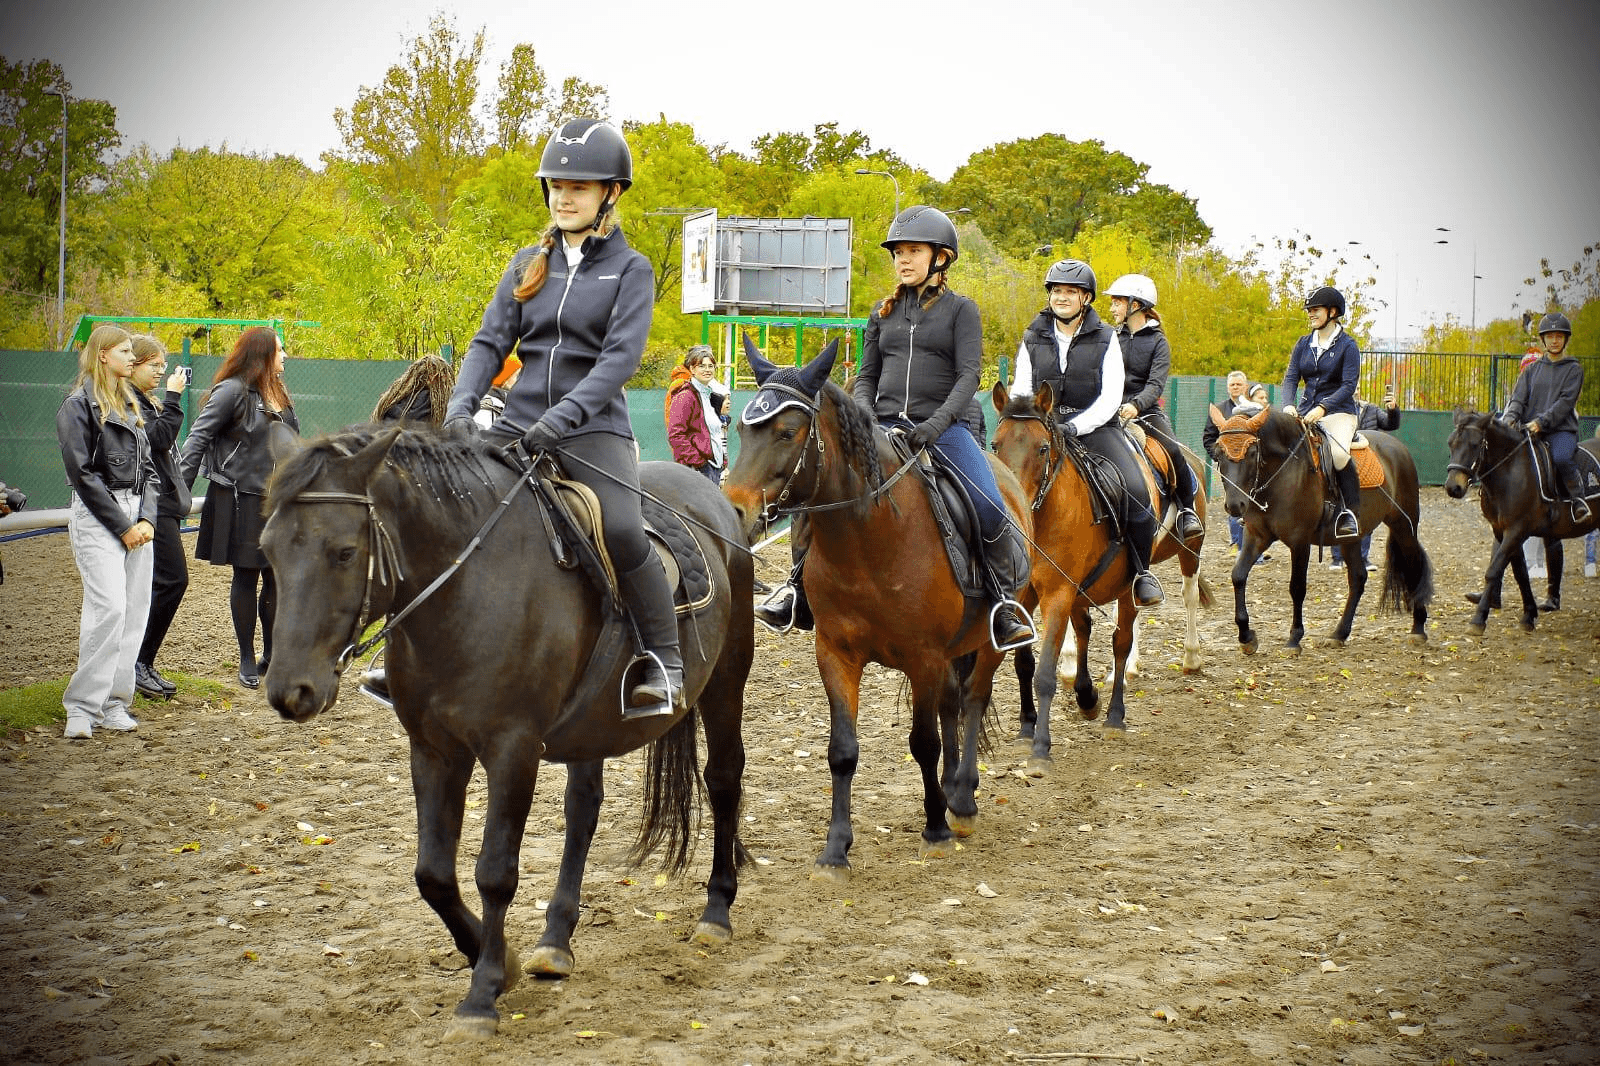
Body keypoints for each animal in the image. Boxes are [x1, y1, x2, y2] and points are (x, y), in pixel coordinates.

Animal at [258, 423, 753, 1040]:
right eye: (268, 551)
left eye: (344, 551)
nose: (290, 692)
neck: (466, 587)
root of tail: (712, 495)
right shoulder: (433, 749)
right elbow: (432, 874)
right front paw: (500, 963)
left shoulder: (512, 749)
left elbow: (495, 872)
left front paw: (482, 995)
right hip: (590, 725)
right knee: (582, 810)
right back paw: (555, 943)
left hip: (726, 681)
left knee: (724, 780)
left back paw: (716, 912)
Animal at [721, 338, 1030, 881]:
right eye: (741, 428)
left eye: (786, 432)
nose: (735, 509)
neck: (868, 542)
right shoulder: (837, 654)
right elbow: (842, 751)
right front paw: (835, 849)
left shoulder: (924, 656)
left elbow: (923, 742)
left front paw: (935, 831)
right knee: (953, 705)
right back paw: (950, 789)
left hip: (986, 644)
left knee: (971, 703)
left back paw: (961, 801)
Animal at [991, 382, 1212, 774]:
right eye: (994, 446)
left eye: (1042, 448)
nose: (1010, 505)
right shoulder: (1027, 596)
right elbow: (1023, 662)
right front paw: (1027, 727)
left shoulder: (1058, 593)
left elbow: (1044, 672)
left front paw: (1041, 750)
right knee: (1095, 629)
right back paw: (1089, 694)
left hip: (1183, 552)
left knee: (1137, 629)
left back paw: (1129, 703)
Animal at [1208, 404, 1433, 653]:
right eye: (1218, 453)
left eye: (1251, 452)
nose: (1235, 505)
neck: (1280, 474)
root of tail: (1396, 445)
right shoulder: (1256, 535)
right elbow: (1238, 575)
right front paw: (1246, 636)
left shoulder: (1299, 541)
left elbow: (1297, 587)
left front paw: (1294, 638)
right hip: (1350, 538)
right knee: (1358, 578)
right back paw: (1339, 634)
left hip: (1404, 525)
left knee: (1413, 565)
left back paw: (1418, 628)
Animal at [1443, 409, 1600, 633]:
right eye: (1451, 443)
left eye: (1474, 444)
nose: (1453, 488)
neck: (1510, 472)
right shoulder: (1503, 531)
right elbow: (1520, 573)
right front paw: (1529, 615)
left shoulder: (1517, 530)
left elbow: (1494, 571)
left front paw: (1478, 620)